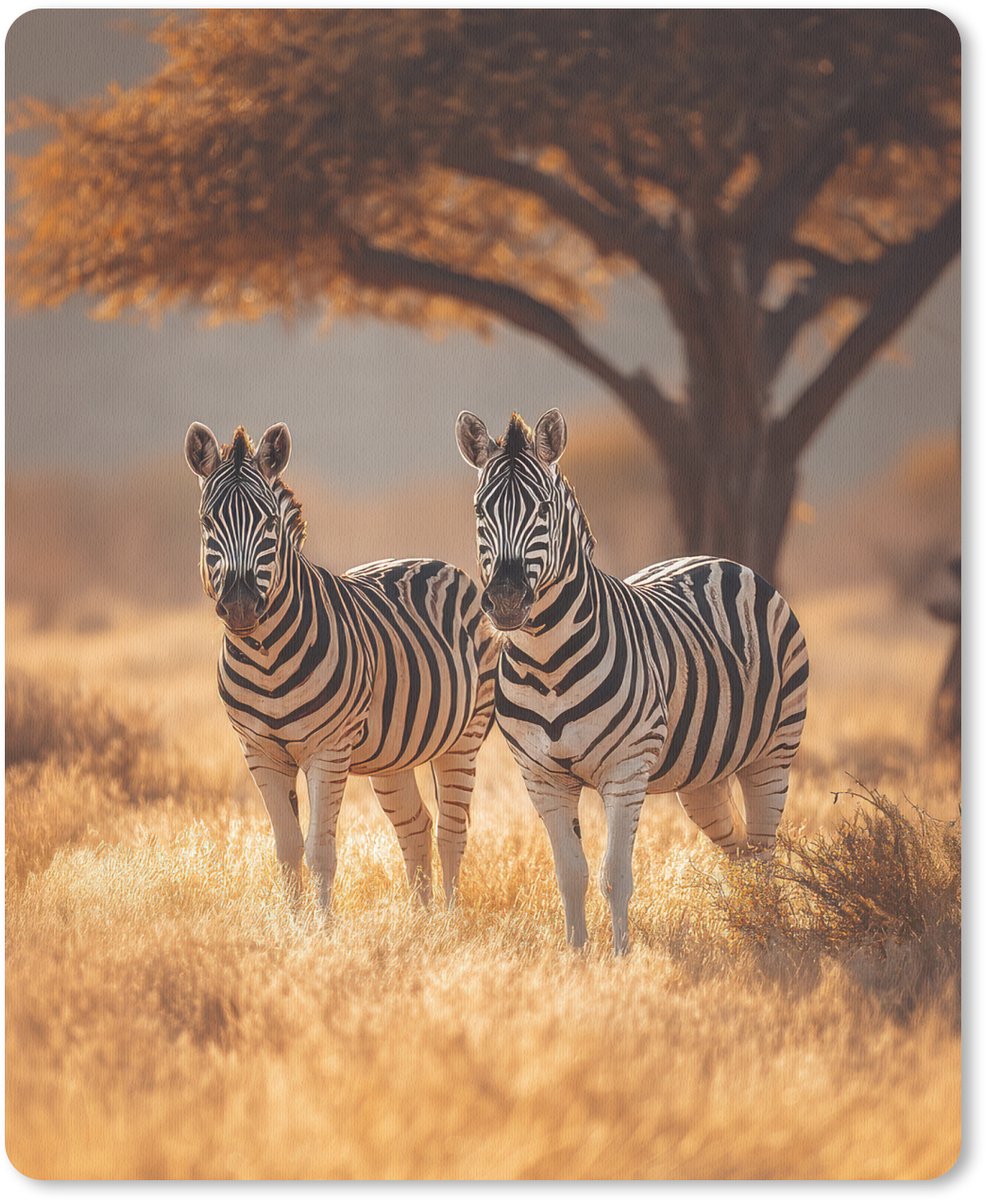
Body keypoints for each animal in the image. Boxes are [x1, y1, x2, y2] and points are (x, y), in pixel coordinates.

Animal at [184, 422, 497, 909]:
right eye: (207, 522)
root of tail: (435, 562)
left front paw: (322, 926)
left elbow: (319, 852)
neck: (265, 657)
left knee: (451, 833)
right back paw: (421, 920)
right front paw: (293, 923)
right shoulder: (259, 752)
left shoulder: (328, 750)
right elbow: (287, 849)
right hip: (394, 752)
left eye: (269, 522)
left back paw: (448, 920)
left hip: (465, 734)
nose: (239, 607)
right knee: (416, 826)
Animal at [455, 408, 809, 954]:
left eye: (544, 510)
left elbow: (614, 876)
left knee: (764, 850)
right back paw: (748, 926)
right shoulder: (542, 777)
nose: (509, 600)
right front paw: (577, 957)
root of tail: (720, 560)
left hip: (773, 753)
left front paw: (621, 959)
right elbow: (571, 875)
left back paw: (769, 934)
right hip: (702, 775)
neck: (547, 662)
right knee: (740, 851)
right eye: (480, 510)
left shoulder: (625, 769)